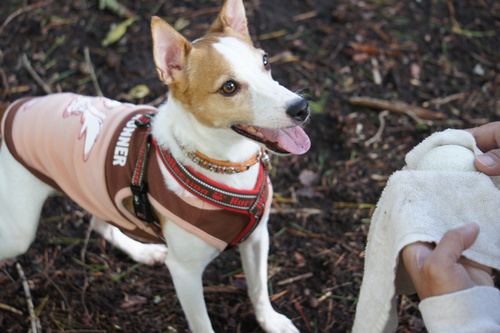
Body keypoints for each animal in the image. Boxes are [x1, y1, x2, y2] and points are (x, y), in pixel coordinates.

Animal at [0, 1, 310, 330]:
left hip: (96, 191)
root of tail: (13, 107)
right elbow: (202, 323)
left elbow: (258, 288)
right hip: (19, 232)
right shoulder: (185, 273)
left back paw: (143, 252)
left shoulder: (257, 239)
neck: (226, 166)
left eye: (265, 61)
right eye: (229, 87)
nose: (301, 108)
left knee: (100, 224)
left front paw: (270, 321)